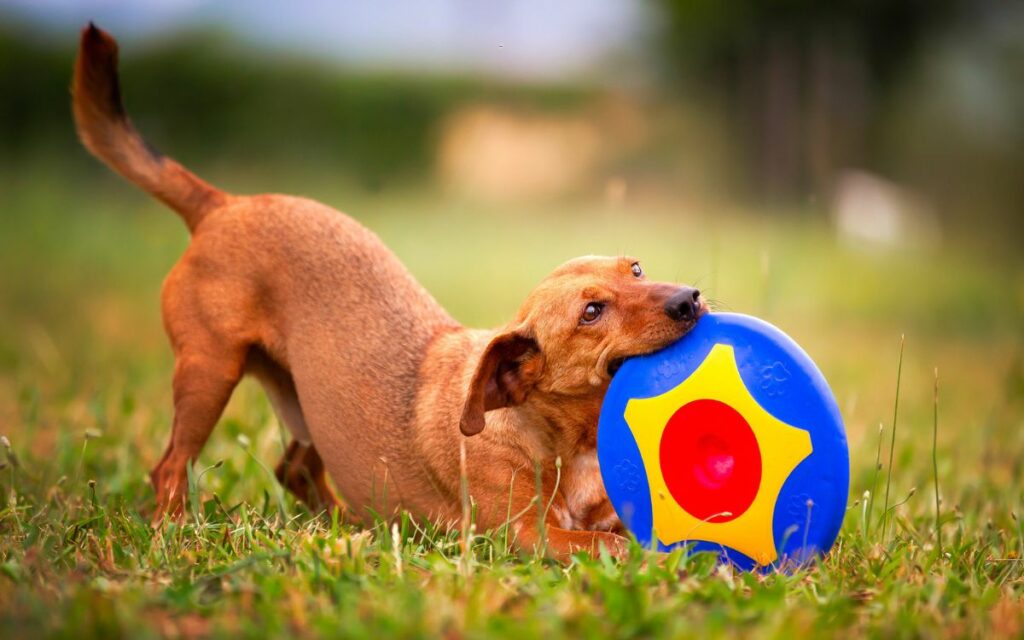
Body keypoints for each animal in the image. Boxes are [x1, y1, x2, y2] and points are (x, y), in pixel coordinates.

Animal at [72, 23, 708, 557]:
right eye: (592, 312)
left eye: (636, 269)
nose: (690, 300)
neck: (555, 434)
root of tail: (223, 204)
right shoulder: (528, 536)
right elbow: (624, 548)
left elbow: (629, 532)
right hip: (210, 373)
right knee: (170, 469)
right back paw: (177, 531)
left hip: (310, 403)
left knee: (294, 470)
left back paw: (349, 528)